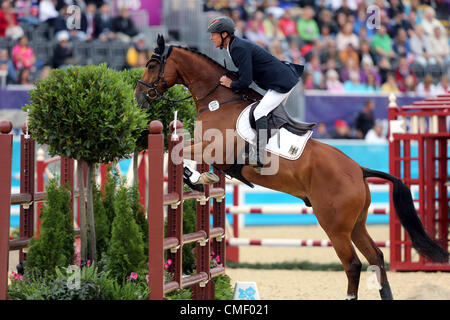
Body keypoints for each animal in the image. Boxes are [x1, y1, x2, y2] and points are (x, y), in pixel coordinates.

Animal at [135, 35, 448, 300]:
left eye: (151, 65)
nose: (138, 97)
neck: (218, 100)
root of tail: (359, 170)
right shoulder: (209, 148)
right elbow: (184, 151)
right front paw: (201, 177)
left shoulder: (214, 147)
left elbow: (179, 151)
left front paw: (195, 176)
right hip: (356, 224)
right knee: (376, 258)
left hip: (334, 226)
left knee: (353, 264)